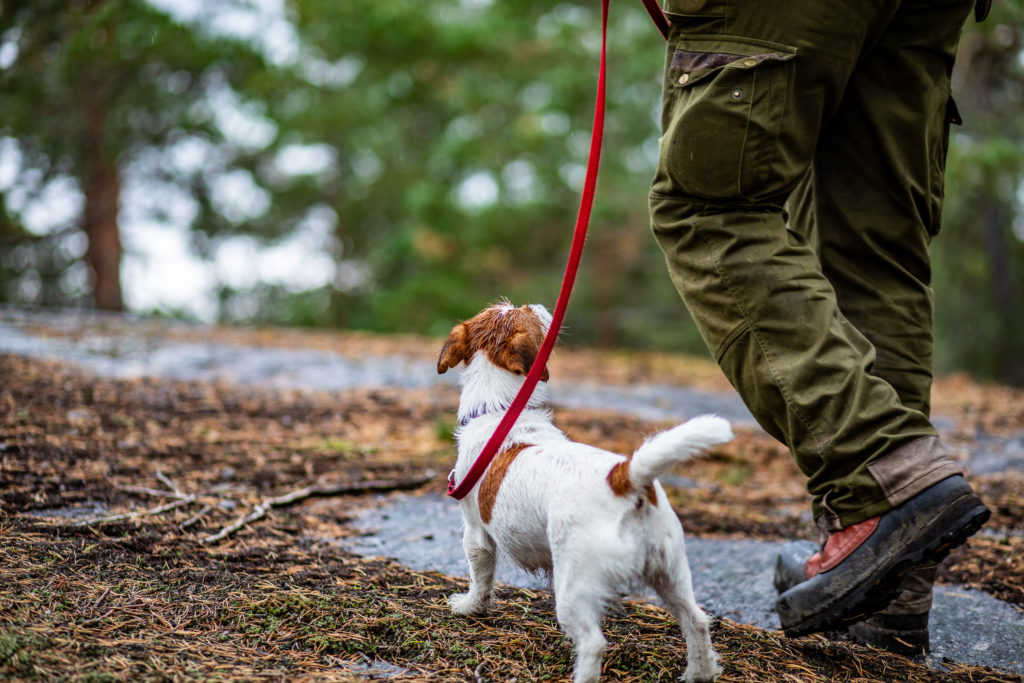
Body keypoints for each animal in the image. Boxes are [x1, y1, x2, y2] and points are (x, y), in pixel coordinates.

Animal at [436, 303, 733, 683]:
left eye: (523, 310)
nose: (539, 304)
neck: (500, 410)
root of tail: (624, 478)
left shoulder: (476, 536)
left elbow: (481, 579)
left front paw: (469, 608)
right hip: (669, 571)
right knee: (696, 621)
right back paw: (699, 673)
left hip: (577, 587)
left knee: (593, 643)